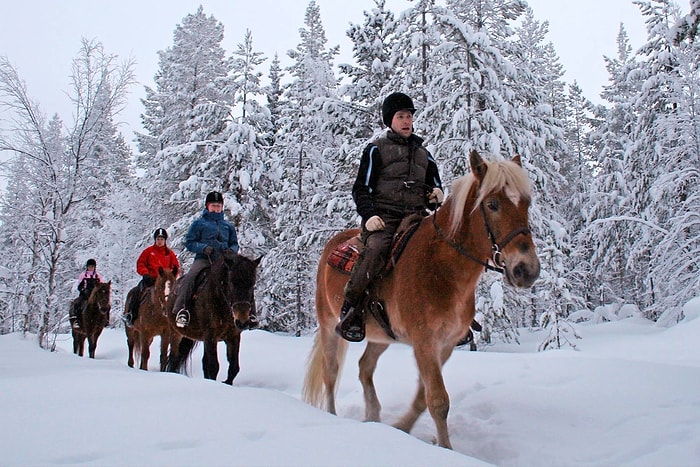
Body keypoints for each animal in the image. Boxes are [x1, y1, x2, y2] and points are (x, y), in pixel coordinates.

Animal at [165, 250, 262, 386]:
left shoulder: (233, 336)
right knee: (174, 359)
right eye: (232, 282)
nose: (242, 321)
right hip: (176, 333)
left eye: (252, 284)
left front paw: (226, 383)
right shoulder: (210, 335)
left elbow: (234, 367)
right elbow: (213, 366)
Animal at [302, 150, 540, 450]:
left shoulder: (445, 344)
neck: (441, 266)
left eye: (527, 203)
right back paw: (333, 417)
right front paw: (446, 449)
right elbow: (438, 401)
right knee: (330, 373)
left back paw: (373, 417)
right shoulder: (424, 341)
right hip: (329, 325)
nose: (527, 270)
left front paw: (401, 428)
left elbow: (422, 398)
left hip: (381, 336)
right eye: (492, 204)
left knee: (365, 367)